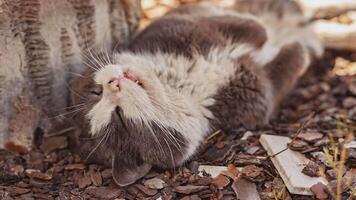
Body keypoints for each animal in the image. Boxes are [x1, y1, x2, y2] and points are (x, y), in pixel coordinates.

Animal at [67, 1, 322, 186]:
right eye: (119, 117)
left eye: (95, 91)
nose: (113, 84)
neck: (176, 85)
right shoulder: (253, 98)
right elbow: (287, 66)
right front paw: (297, 49)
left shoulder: (177, 24)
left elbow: (243, 24)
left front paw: (263, 33)